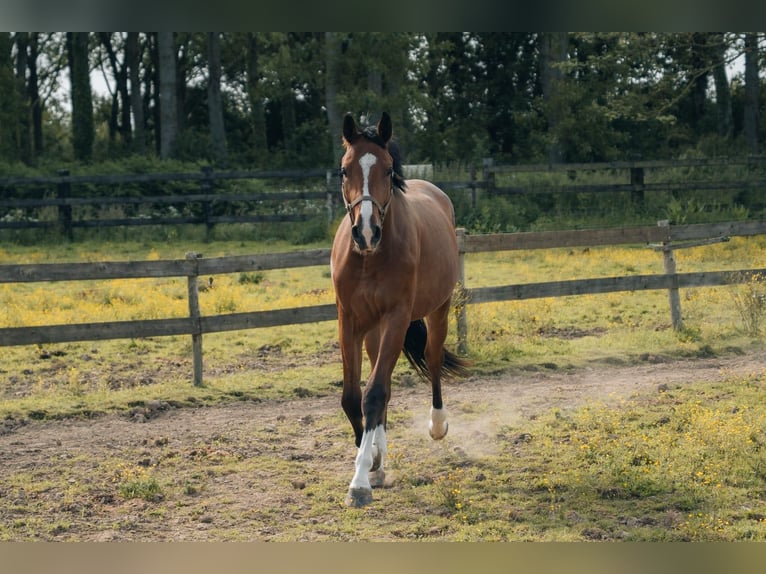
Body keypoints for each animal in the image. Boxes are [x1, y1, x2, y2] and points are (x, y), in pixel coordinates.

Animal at [330, 113, 468, 508]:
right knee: (385, 384)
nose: (365, 232)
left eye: (389, 170)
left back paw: (437, 425)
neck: (369, 259)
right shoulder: (349, 321)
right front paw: (373, 460)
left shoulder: (397, 318)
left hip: (436, 311)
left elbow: (373, 394)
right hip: (374, 332)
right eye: (344, 170)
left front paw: (360, 481)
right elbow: (354, 397)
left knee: (433, 361)